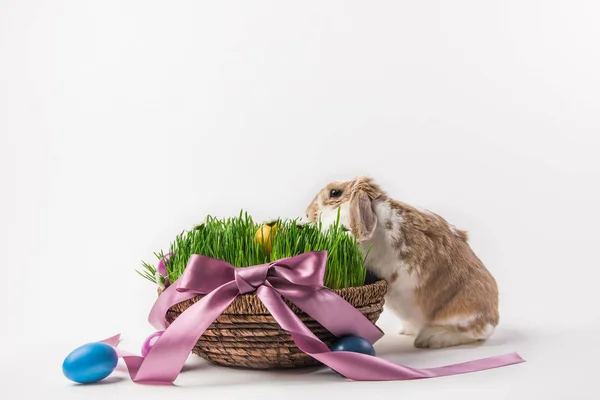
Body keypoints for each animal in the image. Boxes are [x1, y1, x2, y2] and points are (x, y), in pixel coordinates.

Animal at [308, 177, 500, 348]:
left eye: (335, 192)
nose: (308, 213)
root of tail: (494, 317)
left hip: (459, 314)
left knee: (474, 333)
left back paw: (429, 339)